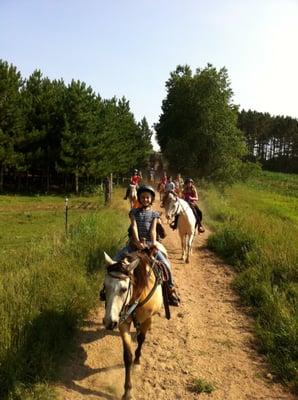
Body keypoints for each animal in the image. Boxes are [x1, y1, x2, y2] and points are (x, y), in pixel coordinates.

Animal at [102, 248, 163, 398]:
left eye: (123, 289)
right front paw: (128, 391)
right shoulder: (123, 322)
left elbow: (141, 339)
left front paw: (137, 362)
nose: (109, 322)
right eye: (105, 286)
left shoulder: (147, 319)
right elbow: (127, 356)